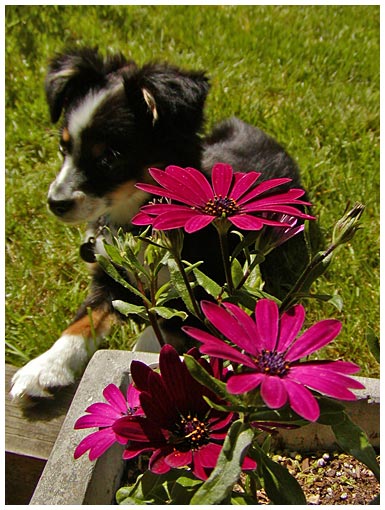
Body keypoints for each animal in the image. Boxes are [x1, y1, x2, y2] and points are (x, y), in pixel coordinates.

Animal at [9, 46, 308, 402]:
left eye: (109, 157)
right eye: (63, 147)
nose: (55, 203)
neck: (139, 219)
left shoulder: (200, 292)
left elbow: (158, 335)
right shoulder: (111, 277)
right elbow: (84, 318)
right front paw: (44, 367)